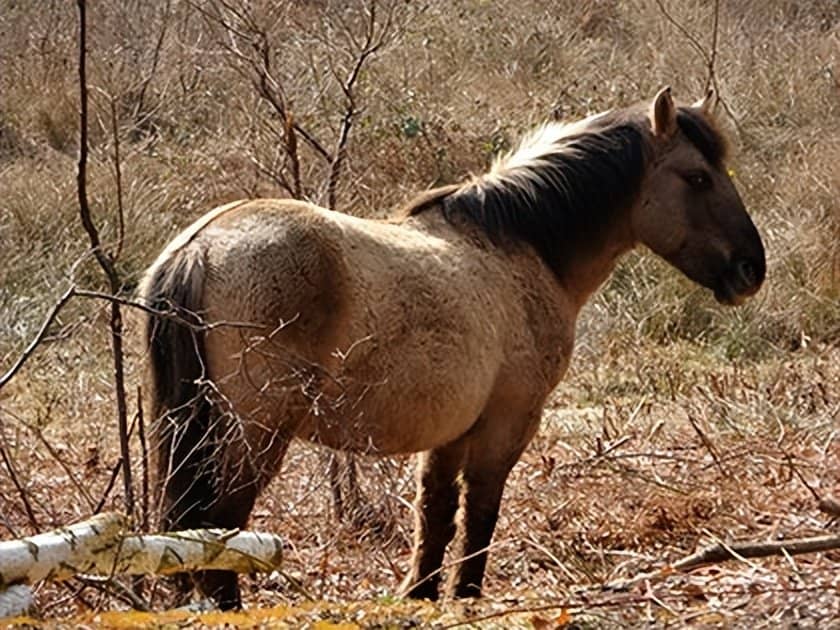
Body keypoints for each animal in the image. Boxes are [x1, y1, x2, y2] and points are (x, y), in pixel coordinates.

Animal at [141, 86, 764, 608]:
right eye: (698, 178)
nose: (750, 269)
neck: (520, 245)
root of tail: (199, 248)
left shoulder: (451, 431)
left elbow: (435, 514)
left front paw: (419, 594)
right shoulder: (507, 423)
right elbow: (481, 509)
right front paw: (466, 595)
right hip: (253, 435)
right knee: (219, 520)